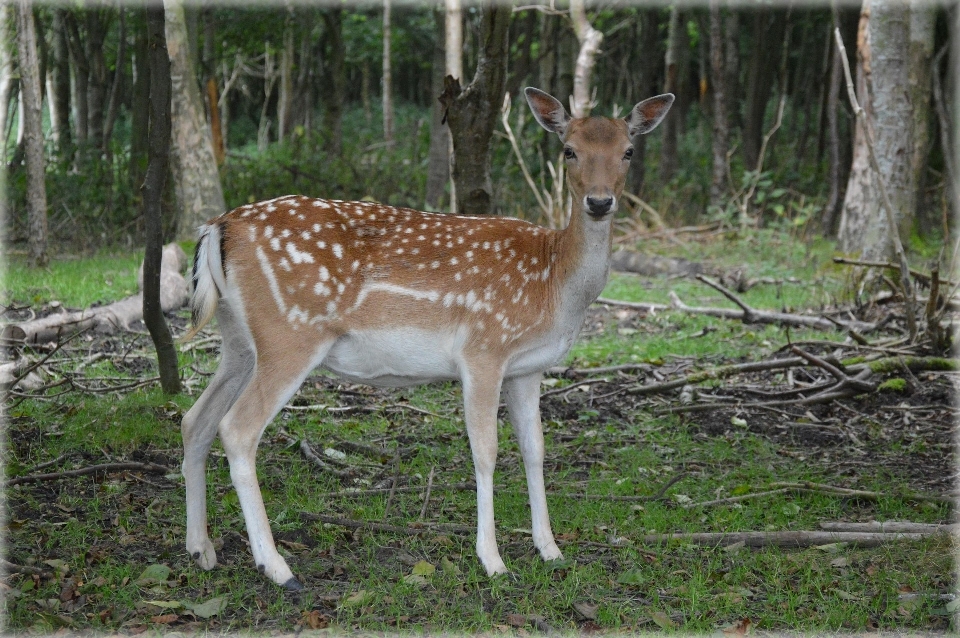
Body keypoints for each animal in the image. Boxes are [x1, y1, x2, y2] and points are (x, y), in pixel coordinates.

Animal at [180, 86, 676, 592]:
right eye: (569, 150)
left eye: (628, 150)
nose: (599, 202)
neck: (553, 284)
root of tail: (218, 227)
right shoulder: (483, 348)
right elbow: (485, 451)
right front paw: (493, 560)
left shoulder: (528, 368)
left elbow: (535, 450)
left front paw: (550, 550)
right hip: (290, 333)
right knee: (237, 429)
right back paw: (278, 568)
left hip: (238, 340)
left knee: (195, 419)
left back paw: (201, 549)